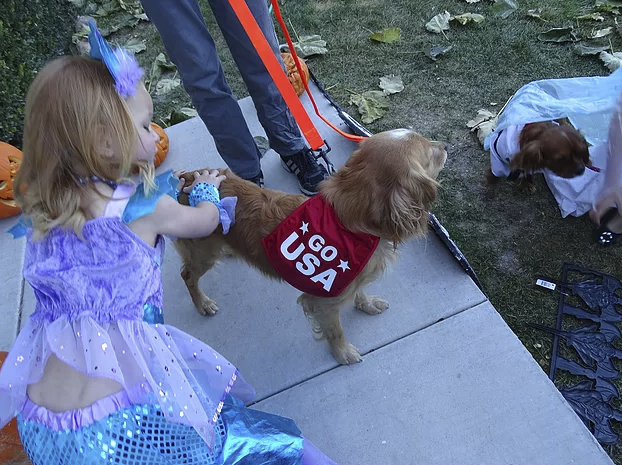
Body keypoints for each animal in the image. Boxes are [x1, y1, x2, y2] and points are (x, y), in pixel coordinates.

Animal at [176, 129, 448, 364]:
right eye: (431, 153)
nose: (445, 145)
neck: (348, 224)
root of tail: (187, 178)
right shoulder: (322, 302)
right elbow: (336, 330)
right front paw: (343, 353)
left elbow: (359, 291)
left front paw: (367, 304)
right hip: (203, 254)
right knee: (187, 276)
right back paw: (202, 303)